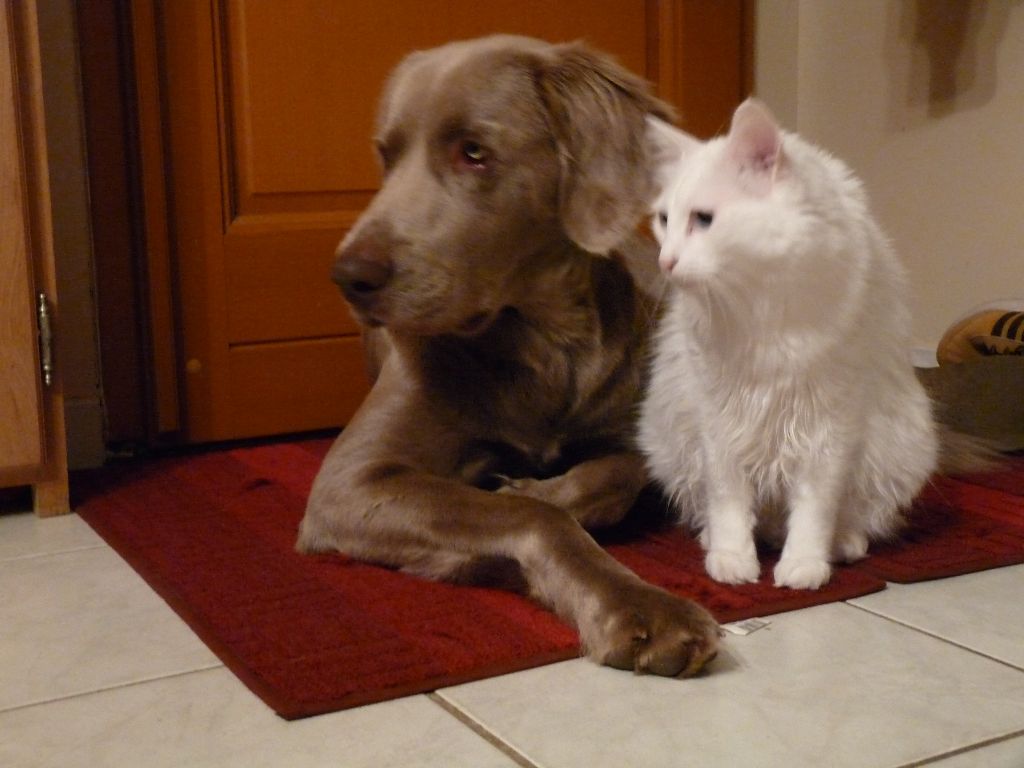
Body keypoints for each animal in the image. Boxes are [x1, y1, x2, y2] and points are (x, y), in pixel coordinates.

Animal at [294, 36, 720, 675]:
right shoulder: (350, 481)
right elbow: (534, 518)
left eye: (474, 153)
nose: (348, 277)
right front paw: (643, 607)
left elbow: (621, 469)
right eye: (386, 157)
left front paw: (539, 488)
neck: (546, 348)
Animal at [643, 99, 937, 593]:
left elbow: (815, 509)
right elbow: (727, 502)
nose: (665, 261)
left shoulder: (830, 427)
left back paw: (843, 546)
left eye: (703, 219)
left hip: (901, 447)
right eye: (665, 220)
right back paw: (714, 540)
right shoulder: (719, 420)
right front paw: (732, 559)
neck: (759, 304)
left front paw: (804, 564)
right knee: (720, 511)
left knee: (848, 519)